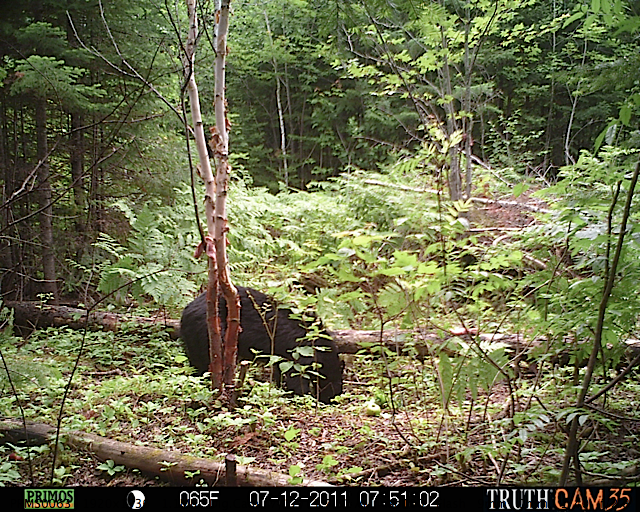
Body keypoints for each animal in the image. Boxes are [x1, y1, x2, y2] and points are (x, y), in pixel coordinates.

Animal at [179, 286, 340, 402]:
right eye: (332, 382)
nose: (333, 398)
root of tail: (185, 312)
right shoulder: (298, 353)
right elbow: (296, 378)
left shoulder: (282, 356)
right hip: (209, 333)